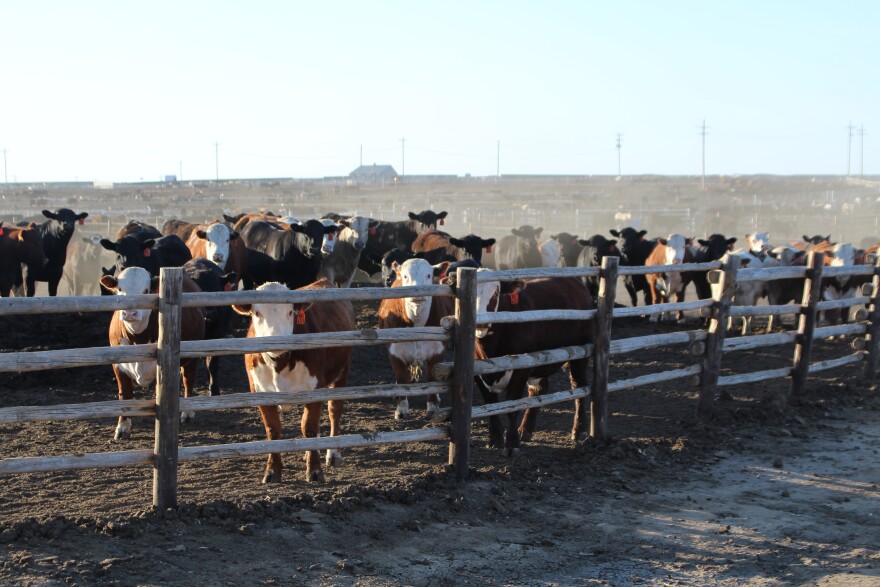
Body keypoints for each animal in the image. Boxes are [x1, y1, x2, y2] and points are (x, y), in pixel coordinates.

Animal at [99, 266, 205, 440]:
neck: (138, 339)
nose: (130, 313)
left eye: (146, 290)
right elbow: (125, 395)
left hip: (191, 357)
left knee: (188, 379)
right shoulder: (118, 365)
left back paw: (187, 412)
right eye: (120, 289)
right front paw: (122, 427)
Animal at [182, 260, 239, 398]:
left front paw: (214, 390)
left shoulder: (217, 336)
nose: (210, 312)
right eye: (197, 290)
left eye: (216, 290)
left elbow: (212, 364)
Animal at [235, 282, 360, 484]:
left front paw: (315, 471)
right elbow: (274, 430)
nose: (275, 338)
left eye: (290, 312)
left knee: (334, 411)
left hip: (342, 372)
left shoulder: (315, 387)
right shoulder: (259, 391)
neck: (279, 363)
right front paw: (272, 471)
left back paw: (332, 454)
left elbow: (308, 427)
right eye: (257, 313)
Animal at [376, 260, 454, 420]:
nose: (418, 294)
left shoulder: (437, 351)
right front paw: (401, 410)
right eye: (406, 276)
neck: (417, 322)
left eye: (428, 275)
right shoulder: (395, 352)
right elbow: (402, 378)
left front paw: (432, 407)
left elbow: (431, 378)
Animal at [470, 274, 596, 458]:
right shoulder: (478, 372)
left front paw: (512, 444)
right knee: (539, 388)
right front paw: (495, 440)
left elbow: (512, 406)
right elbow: (490, 404)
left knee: (579, 387)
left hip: (580, 354)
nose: (480, 322)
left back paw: (579, 431)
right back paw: (526, 429)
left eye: (495, 294)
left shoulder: (521, 369)